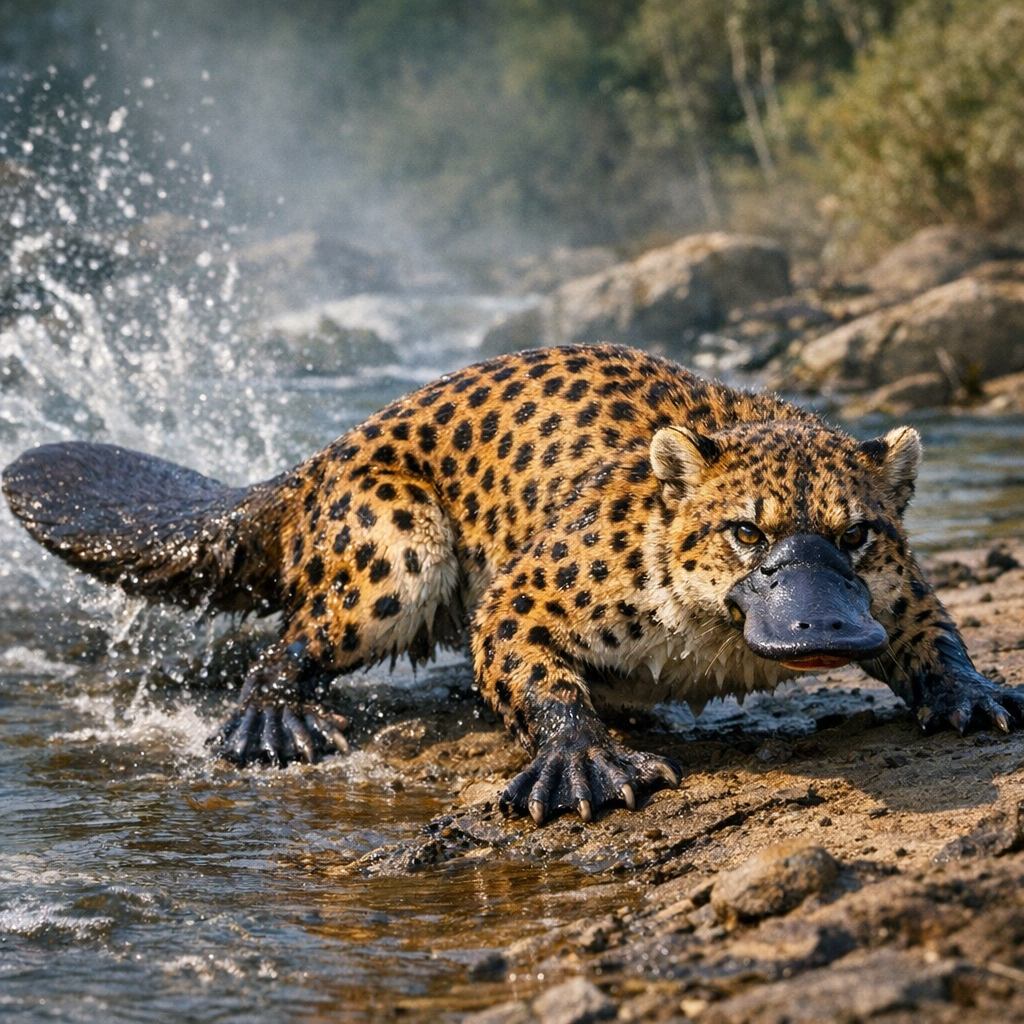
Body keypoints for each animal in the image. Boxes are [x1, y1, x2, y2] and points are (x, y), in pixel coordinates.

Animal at [5, 343, 1024, 825]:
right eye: (747, 532)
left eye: (855, 535)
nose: (823, 631)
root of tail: (319, 459)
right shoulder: (522, 595)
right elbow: (534, 672)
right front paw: (581, 760)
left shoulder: (900, 593)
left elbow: (935, 632)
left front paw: (975, 695)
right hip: (391, 552)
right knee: (290, 640)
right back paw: (272, 723)